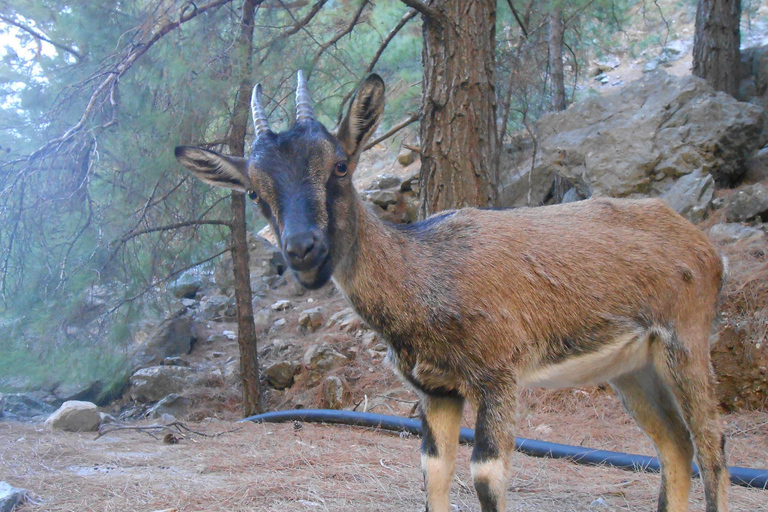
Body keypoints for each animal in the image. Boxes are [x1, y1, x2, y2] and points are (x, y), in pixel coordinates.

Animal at [177, 73, 728, 512]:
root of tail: (702, 244)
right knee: (676, 448)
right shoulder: (437, 391)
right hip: (632, 368)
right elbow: (433, 472)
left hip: (686, 342)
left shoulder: (500, 375)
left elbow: (486, 478)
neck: (426, 275)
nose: (303, 250)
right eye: (253, 190)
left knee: (712, 450)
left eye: (340, 164)